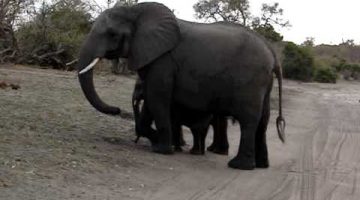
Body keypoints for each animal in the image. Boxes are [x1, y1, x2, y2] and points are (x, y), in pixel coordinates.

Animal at [77, 2, 286, 170]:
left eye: (112, 34)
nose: (117, 109)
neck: (136, 10)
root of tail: (273, 55)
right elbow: (151, 101)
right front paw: (160, 142)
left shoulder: (164, 60)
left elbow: (157, 98)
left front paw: (162, 150)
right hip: (264, 83)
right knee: (263, 121)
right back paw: (261, 165)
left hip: (251, 81)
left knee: (248, 120)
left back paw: (239, 166)